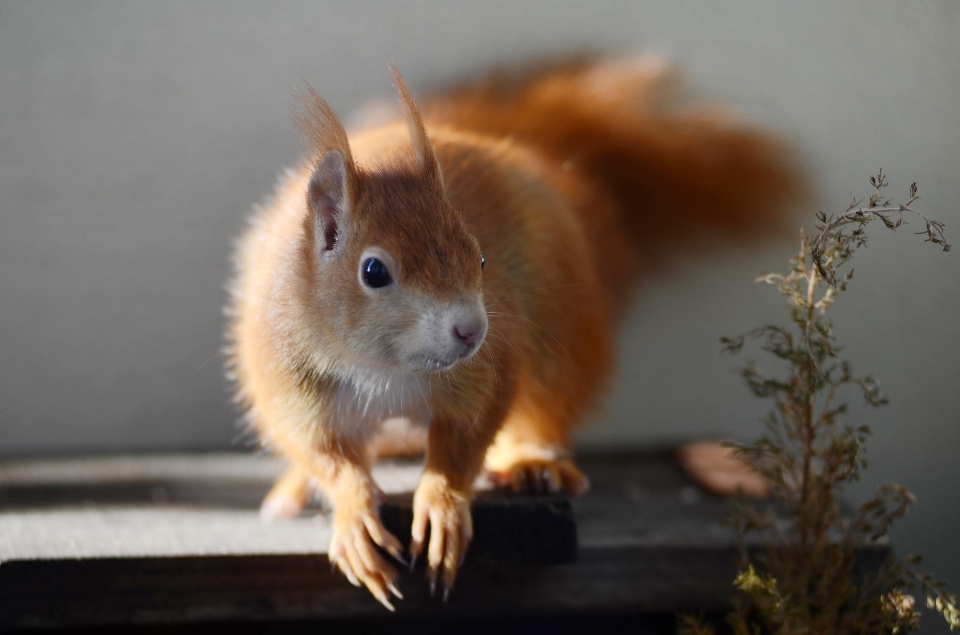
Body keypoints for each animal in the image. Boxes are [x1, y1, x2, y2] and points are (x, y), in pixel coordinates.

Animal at [223, 60, 796, 612]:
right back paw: (292, 490)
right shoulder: (290, 381)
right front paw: (354, 513)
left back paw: (530, 463)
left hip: (558, 337)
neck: (387, 370)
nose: (472, 330)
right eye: (374, 271)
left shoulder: (483, 372)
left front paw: (441, 506)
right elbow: (325, 454)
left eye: (480, 257)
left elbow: (464, 443)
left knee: (544, 406)